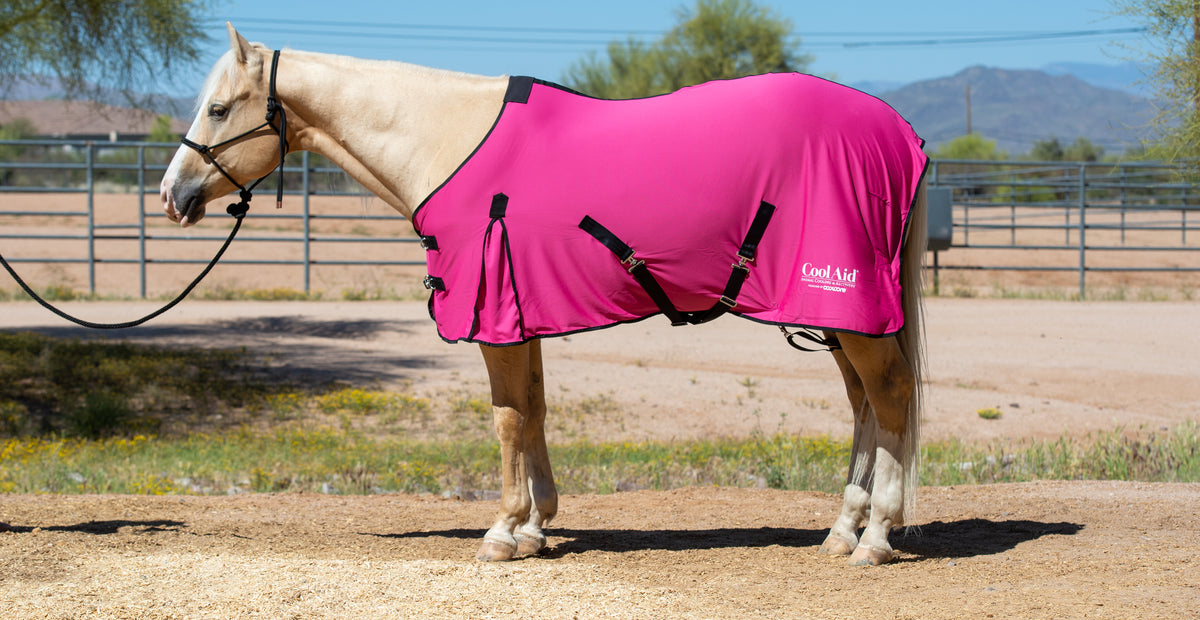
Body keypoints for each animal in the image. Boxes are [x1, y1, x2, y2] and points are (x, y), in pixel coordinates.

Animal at [161, 24, 928, 566]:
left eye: (219, 108)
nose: (173, 196)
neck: (448, 143)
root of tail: (899, 131)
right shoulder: (518, 310)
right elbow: (532, 411)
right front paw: (536, 525)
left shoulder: (494, 313)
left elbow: (506, 418)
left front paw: (503, 531)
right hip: (837, 317)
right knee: (865, 404)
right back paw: (841, 529)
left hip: (846, 307)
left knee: (889, 395)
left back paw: (874, 539)